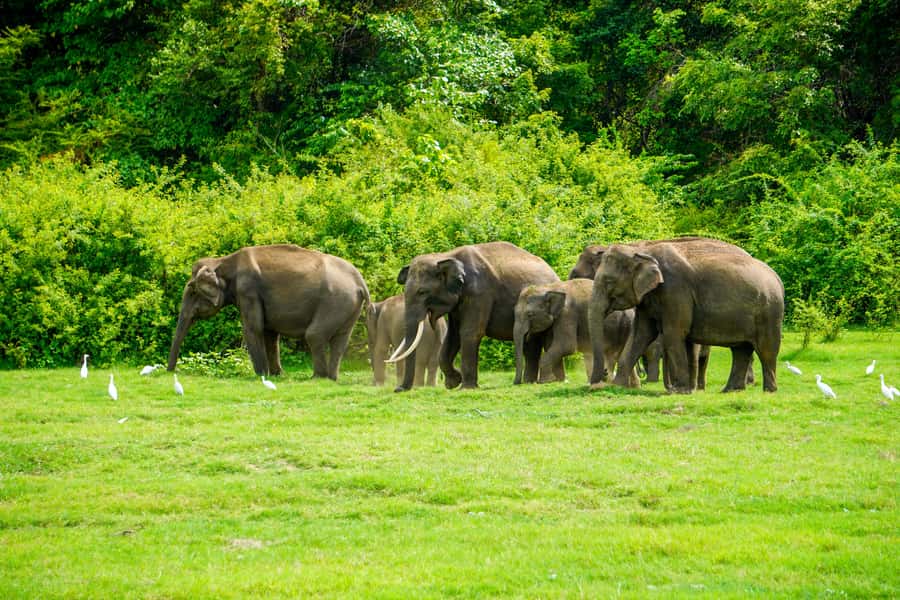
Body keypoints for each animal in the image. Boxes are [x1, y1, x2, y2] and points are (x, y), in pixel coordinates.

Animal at [167, 244, 369, 380]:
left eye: (193, 291)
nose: (169, 372)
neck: (223, 260)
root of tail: (360, 281)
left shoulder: (247, 290)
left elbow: (253, 329)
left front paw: (262, 376)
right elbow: (269, 334)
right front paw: (277, 375)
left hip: (336, 301)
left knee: (315, 335)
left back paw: (317, 378)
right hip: (348, 306)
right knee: (340, 340)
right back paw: (331, 378)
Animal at [390, 241, 560, 391]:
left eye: (422, 292)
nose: (398, 389)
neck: (445, 256)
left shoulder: (479, 293)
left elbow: (469, 332)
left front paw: (465, 388)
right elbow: (452, 337)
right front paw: (453, 383)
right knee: (531, 345)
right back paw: (529, 382)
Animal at [582, 238, 784, 393]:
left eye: (609, 281)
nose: (596, 384)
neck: (642, 249)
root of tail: (777, 278)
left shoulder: (676, 290)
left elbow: (674, 333)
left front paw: (679, 391)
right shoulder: (649, 297)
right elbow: (641, 334)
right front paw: (618, 387)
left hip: (769, 312)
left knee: (766, 349)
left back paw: (769, 391)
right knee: (741, 349)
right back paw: (730, 390)